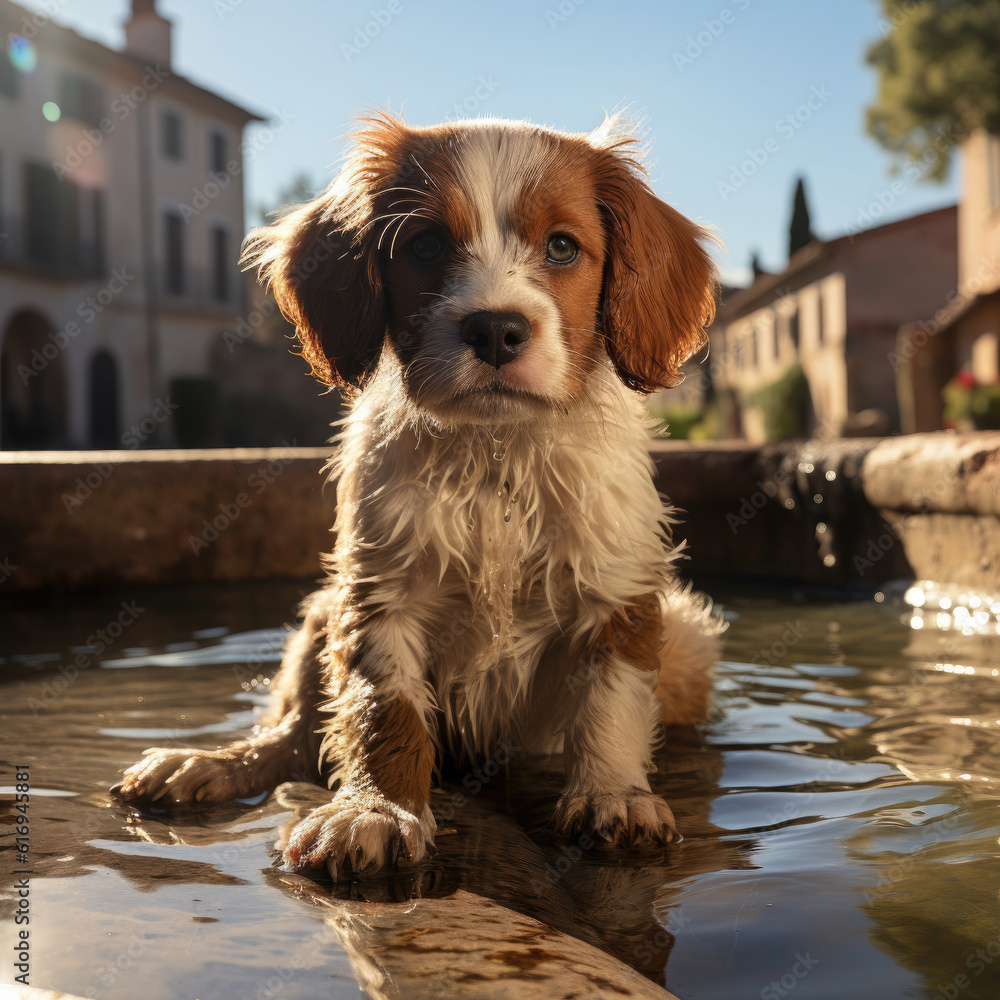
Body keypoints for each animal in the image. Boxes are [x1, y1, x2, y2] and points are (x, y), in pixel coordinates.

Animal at [115, 111, 720, 876]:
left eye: (562, 246)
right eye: (427, 245)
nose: (495, 328)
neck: (496, 456)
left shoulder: (617, 592)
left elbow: (609, 704)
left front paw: (615, 796)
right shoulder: (379, 595)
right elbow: (384, 714)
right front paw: (376, 813)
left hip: (689, 644)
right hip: (321, 614)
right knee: (287, 736)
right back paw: (205, 766)